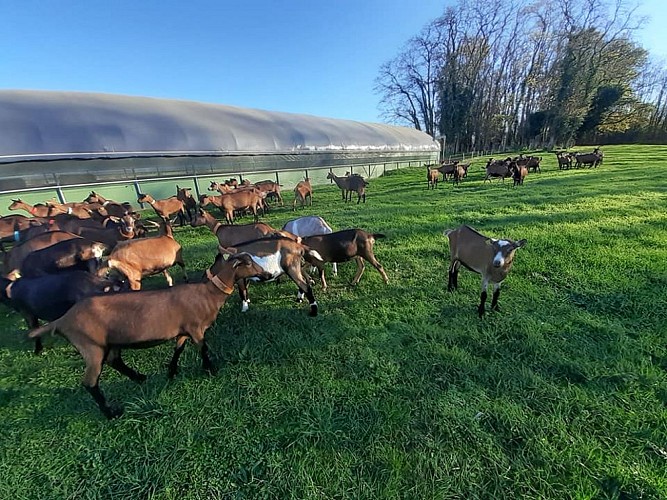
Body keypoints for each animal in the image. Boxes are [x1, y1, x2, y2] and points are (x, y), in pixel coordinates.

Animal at [27, 252, 270, 419]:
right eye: (248, 263)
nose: (266, 274)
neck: (208, 294)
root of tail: (62, 320)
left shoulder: (184, 330)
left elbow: (178, 349)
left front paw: (171, 372)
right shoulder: (196, 328)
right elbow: (203, 349)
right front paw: (210, 369)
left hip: (109, 343)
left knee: (115, 361)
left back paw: (140, 378)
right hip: (91, 346)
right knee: (90, 382)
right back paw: (111, 413)